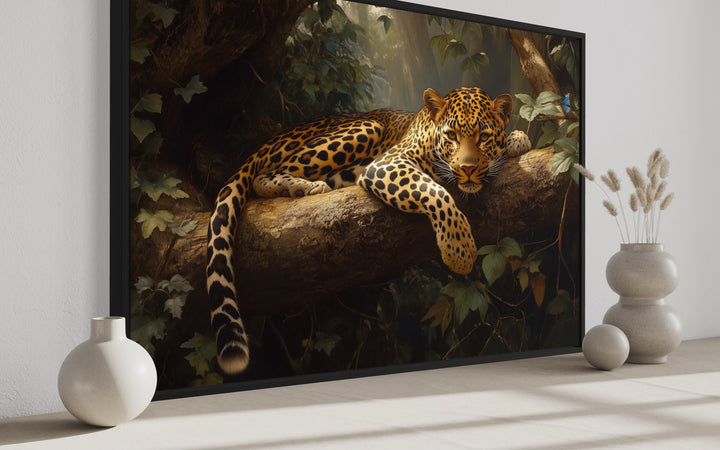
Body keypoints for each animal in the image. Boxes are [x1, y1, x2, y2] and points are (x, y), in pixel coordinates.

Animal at [206, 87, 513, 375]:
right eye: (451, 135)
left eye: (483, 137)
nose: (468, 168)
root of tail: (268, 141)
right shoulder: (387, 164)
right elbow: (435, 191)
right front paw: (458, 250)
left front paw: (516, 140)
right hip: (366, 127)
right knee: (262, 177)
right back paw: (305, 187)